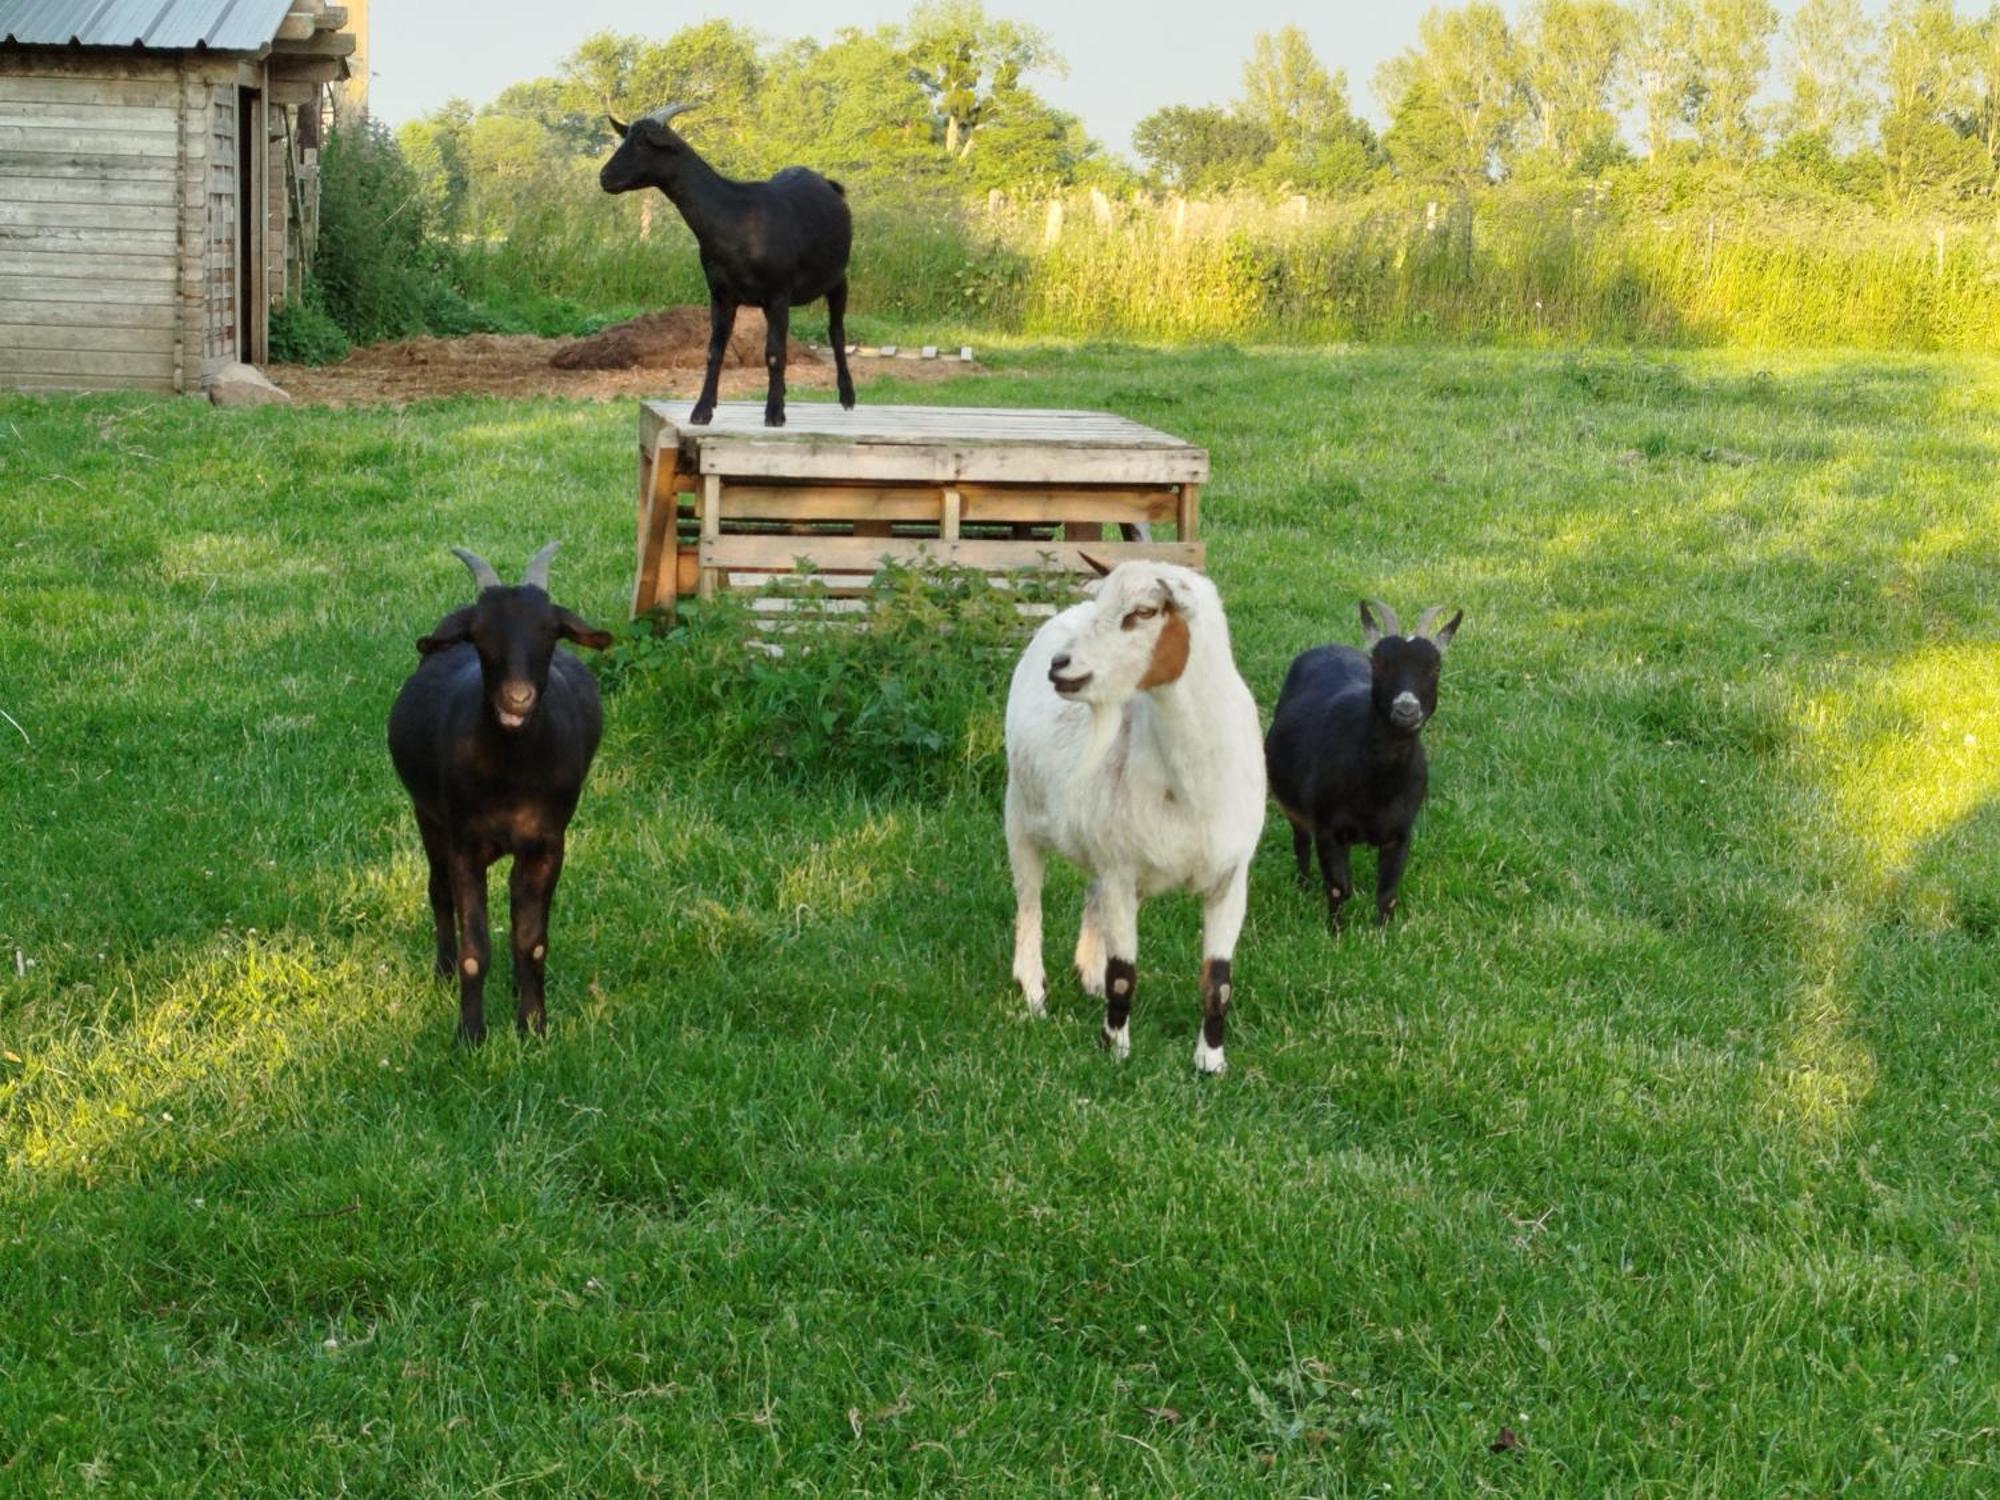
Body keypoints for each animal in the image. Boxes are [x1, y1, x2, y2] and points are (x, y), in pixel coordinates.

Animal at [386, 540, 612, 1048]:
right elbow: (475, 947)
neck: (510, 775)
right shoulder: (464, 843)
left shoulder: (548, 845)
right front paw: (470, 1035)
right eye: (480, 635)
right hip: (428, 816)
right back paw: (444, 970)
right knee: (438, 890)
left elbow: (532, 941)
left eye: (550, 632)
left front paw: (532, 1027)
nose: (517, 698)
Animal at [604, 100, 864, 428]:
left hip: (838, 278)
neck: (735, 216)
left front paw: (774, 414)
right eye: (625, 137)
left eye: (642, 143)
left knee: (836, 332)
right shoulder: (721, 294)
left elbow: (775, 352)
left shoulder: (779, 293)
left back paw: (847, 397)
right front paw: (702, 410)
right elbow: (715, 350)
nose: (605, 177)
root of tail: (830, 185)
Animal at [1000, 560, 1264, 1072]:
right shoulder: (1121, 871)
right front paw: (1114, 1048)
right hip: (1019, 814)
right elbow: (1125, 974)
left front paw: (1211, 1062)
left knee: (1091, 895)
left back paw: (1088, 973)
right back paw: (1033, 990)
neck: (1189, 787)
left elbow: (1219, 982)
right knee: (1029, 904)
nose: (1060, 665)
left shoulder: (1230, 877)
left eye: (1143, 612)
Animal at [1272, 604, 1464, 936]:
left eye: (1435, 668)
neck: (1377, 790)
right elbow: (1339, 887)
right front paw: (1335, 932)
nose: (1406, 709)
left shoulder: (1401, 832)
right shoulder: (1328, 829)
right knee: (1300, 841)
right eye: (1379, 663)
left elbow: (1387, 893)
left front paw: (1383, 935)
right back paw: (1303, 885)